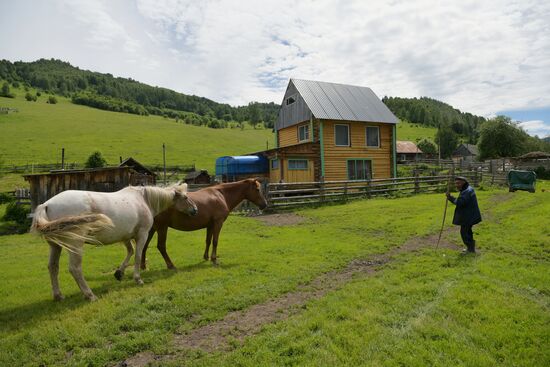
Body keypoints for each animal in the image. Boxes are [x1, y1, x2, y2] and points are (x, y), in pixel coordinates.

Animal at [30, 184, 198, 302]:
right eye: (185, 197)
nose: (195, 210)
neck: (143, 199)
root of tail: (47, 205)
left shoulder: (125, 237)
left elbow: (130, 252)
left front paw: (119, 273)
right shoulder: (142, 235)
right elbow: (137, 256)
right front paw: (137, 279)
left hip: (55, 246)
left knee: (53, 267)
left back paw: (58, 296)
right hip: (75, 245)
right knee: (75, 269)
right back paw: (90, 295)